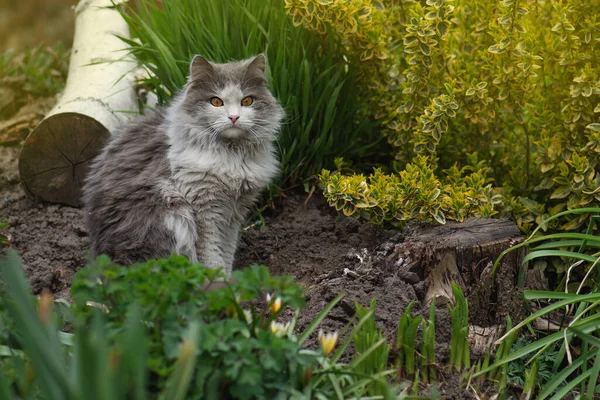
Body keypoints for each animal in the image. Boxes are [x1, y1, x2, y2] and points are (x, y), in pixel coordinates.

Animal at [81, 54, 284, 276]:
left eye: (247, 101)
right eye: (216, 102)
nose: (234, 117)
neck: (232, 154)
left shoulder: (234, 212)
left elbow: (227, 251)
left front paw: (229, 278)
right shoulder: (205, 208)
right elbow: (212, 255)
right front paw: (219, 281)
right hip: (171, 217)